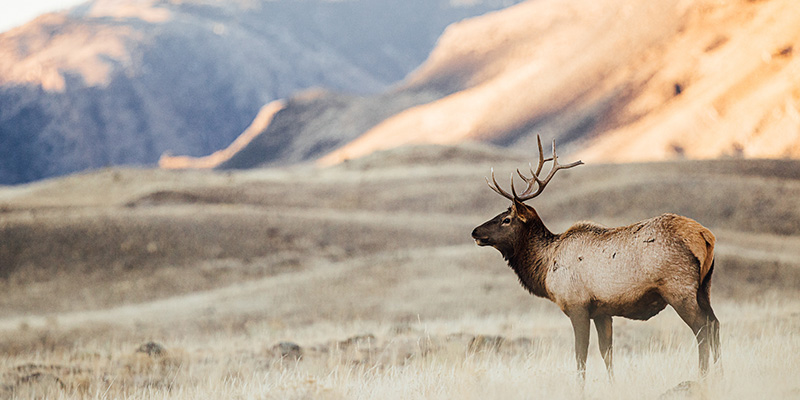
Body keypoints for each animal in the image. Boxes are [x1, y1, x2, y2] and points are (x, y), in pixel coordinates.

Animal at [472, 136, 720, 380]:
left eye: (506, 219)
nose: (475, 232)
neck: (545, 267)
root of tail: (703, 235)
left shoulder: (577, 305)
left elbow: (580, 355)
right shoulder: (603, 312)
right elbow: (606, 353)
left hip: (678, 287)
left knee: (702, 328)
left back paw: (704, 376)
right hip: (704, 287)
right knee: (715, 324)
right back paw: (720, 373)